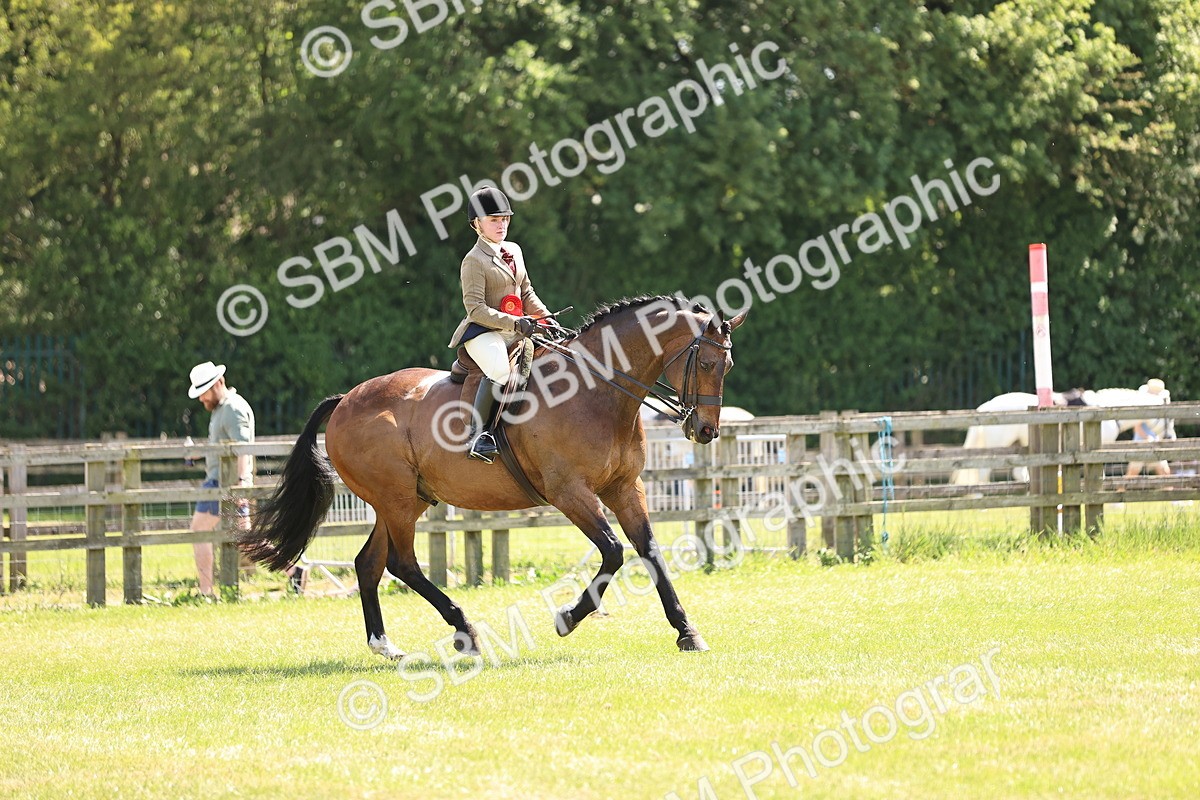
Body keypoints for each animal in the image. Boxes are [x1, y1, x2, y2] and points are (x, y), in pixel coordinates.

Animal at [238, 296, 747, 658]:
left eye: (728, 366)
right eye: (705, 363)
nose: (706, 430)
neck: (597, 392)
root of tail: (345, 399)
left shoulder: (625, 488)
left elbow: (650, 552)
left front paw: (687, 632)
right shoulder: (569, 493)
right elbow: (614, 552)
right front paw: (567, 617)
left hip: (405, 500)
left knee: (369, 563)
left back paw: (386, 646)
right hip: (397, 500)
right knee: (402, 564)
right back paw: (465, 632)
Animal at [950, 387, 1169, 485]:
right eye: (1167, 420)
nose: (1169, 437)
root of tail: (986, 406)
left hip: (1018, 445)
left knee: (1017, 472)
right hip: (1000, 445)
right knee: (983, 470)